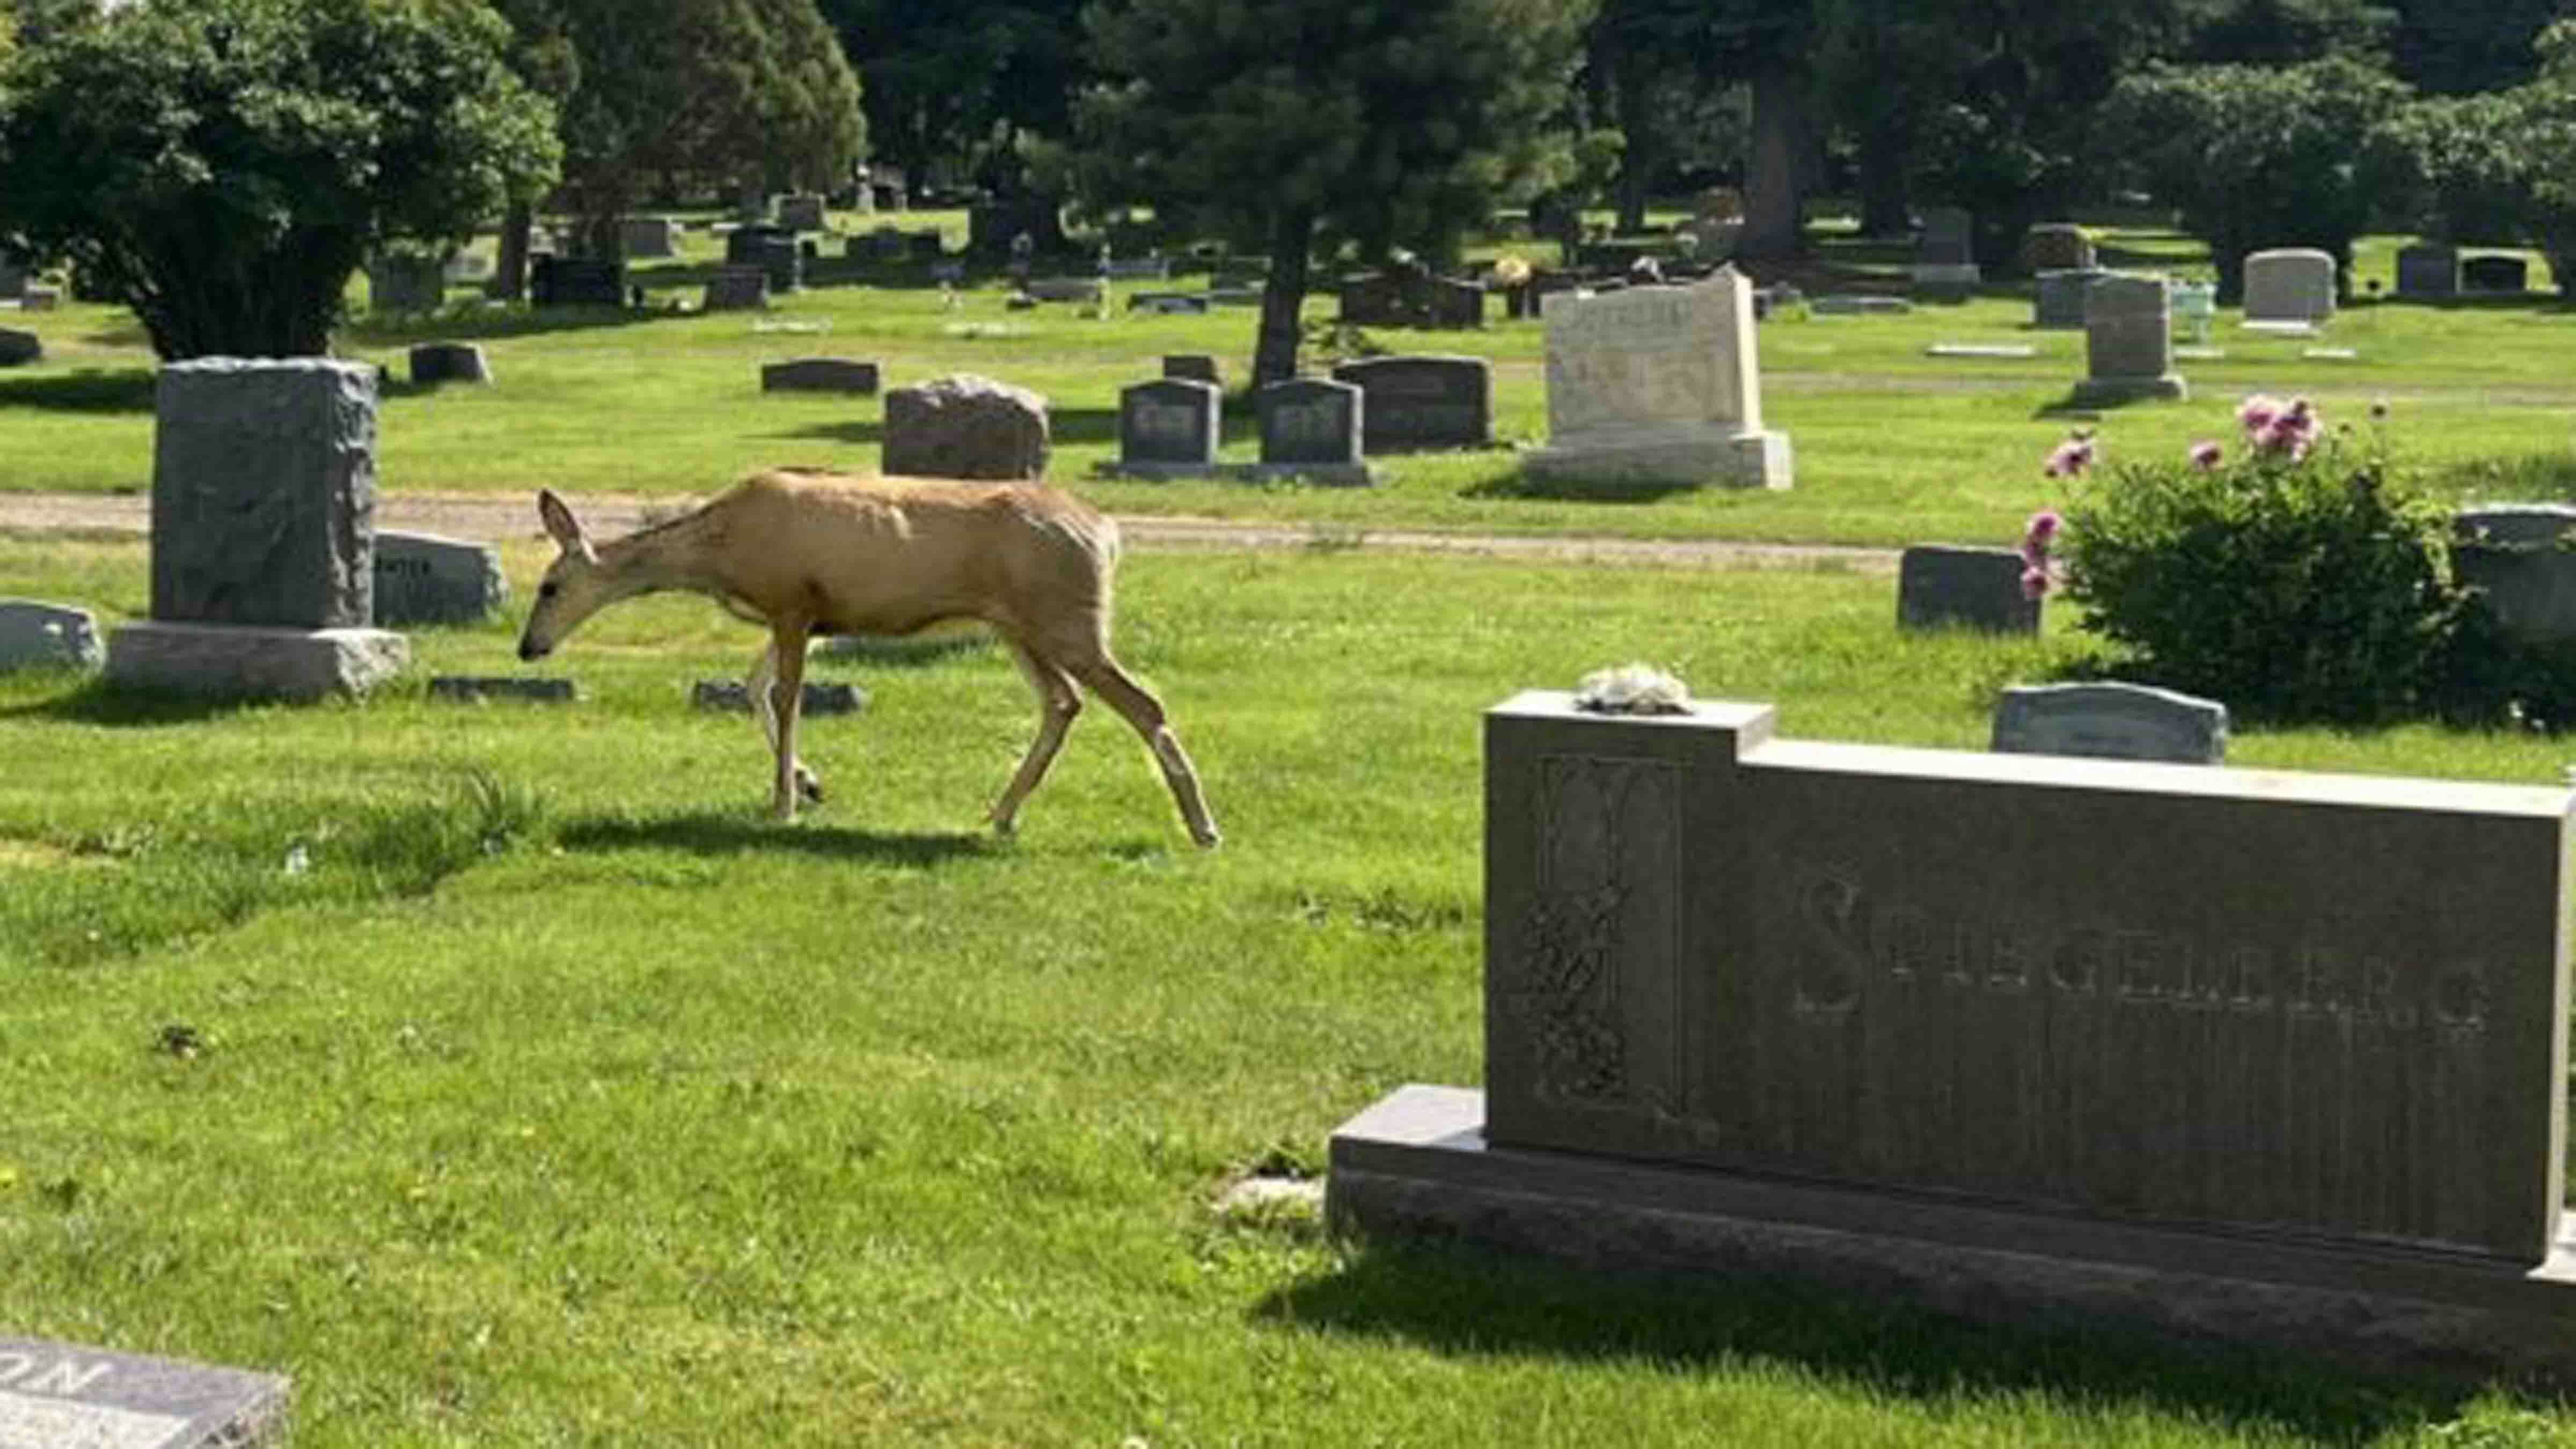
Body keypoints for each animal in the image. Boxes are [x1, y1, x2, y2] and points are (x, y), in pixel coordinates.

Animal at [514, 469, 1221, 848]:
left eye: (549, 586)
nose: (528, 647)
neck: (720, 553)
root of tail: (1108, 534)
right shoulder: (805, 618)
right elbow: (751, 686)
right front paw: (809, 784)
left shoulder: (794, 603)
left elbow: (786, 697)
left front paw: (783, 805)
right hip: (1017, 627)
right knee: (1064, 702)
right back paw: (999, 815)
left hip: (1068, 618)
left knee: (1143, 703)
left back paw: (1204, 828)